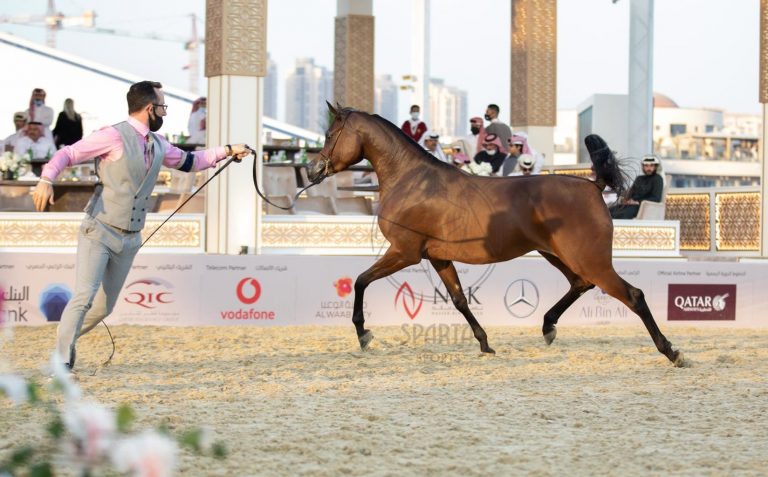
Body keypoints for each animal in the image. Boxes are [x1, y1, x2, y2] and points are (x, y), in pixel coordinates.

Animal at [307, 103, 684, 367]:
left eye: (329, 135)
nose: (314, 170)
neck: (413, 180)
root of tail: (593, 185)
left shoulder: (404, 252)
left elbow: (360, 281)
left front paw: (364, 334)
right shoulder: (438, 257)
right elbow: (459, 300)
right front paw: (485, 343)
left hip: (589, 259)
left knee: (632, 295)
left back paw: (672, 352)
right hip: (557, 254)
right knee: (580, 284)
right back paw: (548, 327)